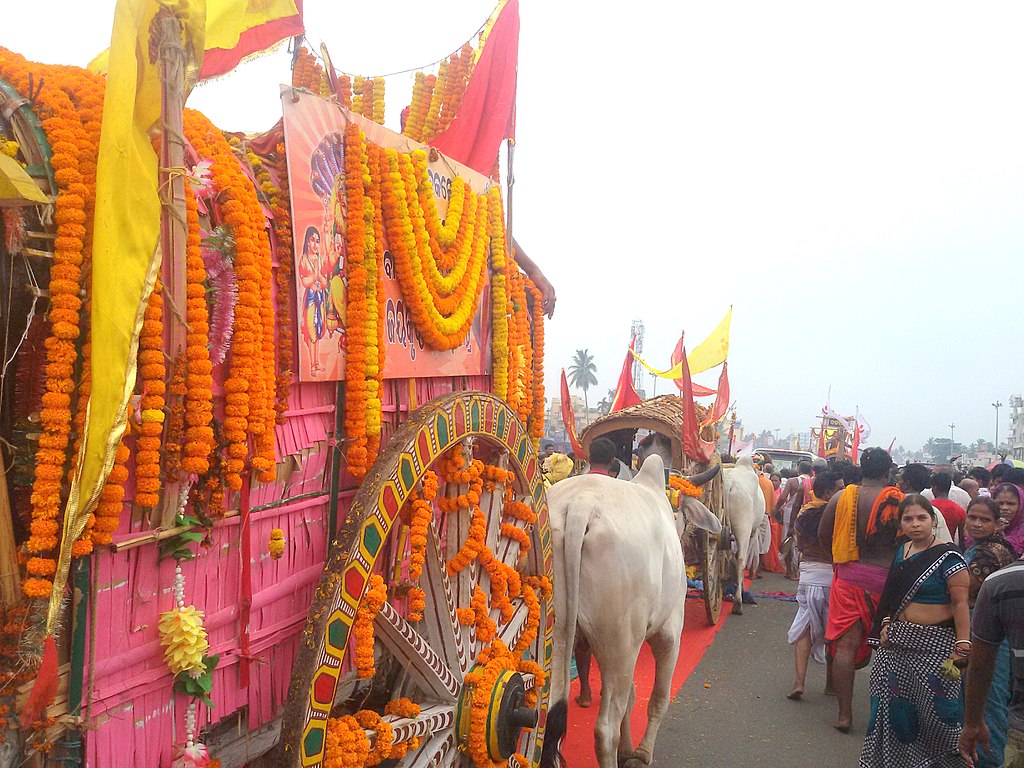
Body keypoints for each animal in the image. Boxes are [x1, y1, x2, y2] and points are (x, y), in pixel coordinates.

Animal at [544, 456, 720, 768]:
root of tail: (580, 504)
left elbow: (630, 699)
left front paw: (628, 750)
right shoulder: (669, 634)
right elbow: (658, 699)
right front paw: (641, 753)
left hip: (559, 637)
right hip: (621, 642)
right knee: (605, 730)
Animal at [720, 460, 770, 618]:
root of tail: (729, 483)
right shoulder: (752, 532)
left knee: (729, 556)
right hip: (744, 529)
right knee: (741, 560)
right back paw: (738, 602)